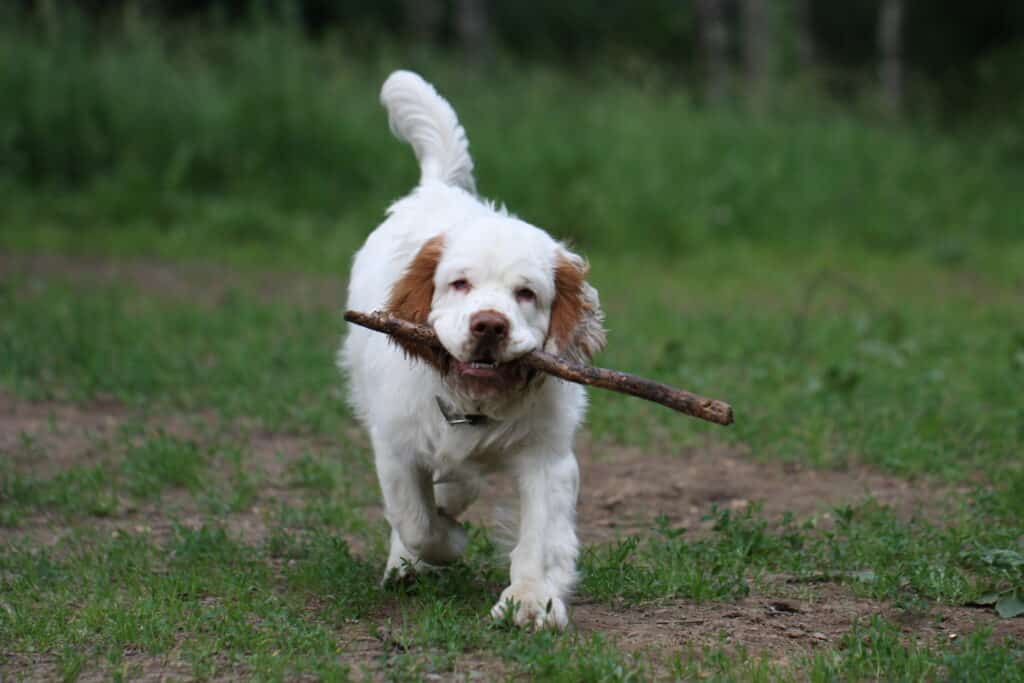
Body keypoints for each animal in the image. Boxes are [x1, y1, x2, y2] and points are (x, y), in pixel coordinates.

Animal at [339, 70, 602, 630]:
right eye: (459, 284)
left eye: (527, 294)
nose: (489, 326)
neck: (474, 402)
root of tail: (435, 186)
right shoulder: (394, 445)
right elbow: (417, 521)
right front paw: (442, 544)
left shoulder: (547, 456)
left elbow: (539, 538)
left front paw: (530, 601)